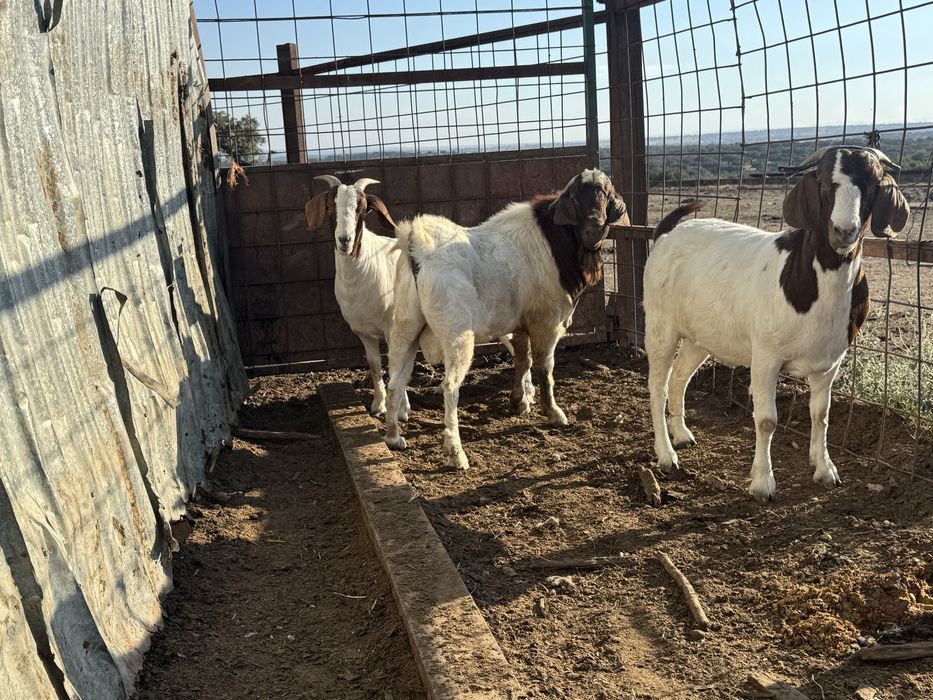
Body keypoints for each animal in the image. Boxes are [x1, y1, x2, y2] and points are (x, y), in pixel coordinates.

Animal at [383, 169, 629, 469]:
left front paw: (519, 402)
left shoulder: (521, 324)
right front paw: (554, 413)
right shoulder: (547, 322)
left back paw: (394, 438)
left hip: (405, 328)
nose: (594, 228)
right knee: (449, 386)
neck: (555, 242)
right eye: (574, 199)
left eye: (606, 193)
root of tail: (417, 248)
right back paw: (456, 453)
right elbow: (545, 368)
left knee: (394, 382)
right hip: (456, 334)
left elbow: (522, 360)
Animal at [642, 146, 909, 502]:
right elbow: (767, 420)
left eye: (873, 185)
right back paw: (666, 454)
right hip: (660, 325)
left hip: (701, 336)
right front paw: (762, 483)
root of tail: (665, 234)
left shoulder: (829, 363)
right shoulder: (766, 357)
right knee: (657, 385)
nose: (844, 231)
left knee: (680, 378)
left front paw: (825, 470)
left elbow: (821, 415)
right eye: (822, 183)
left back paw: (682, 434)